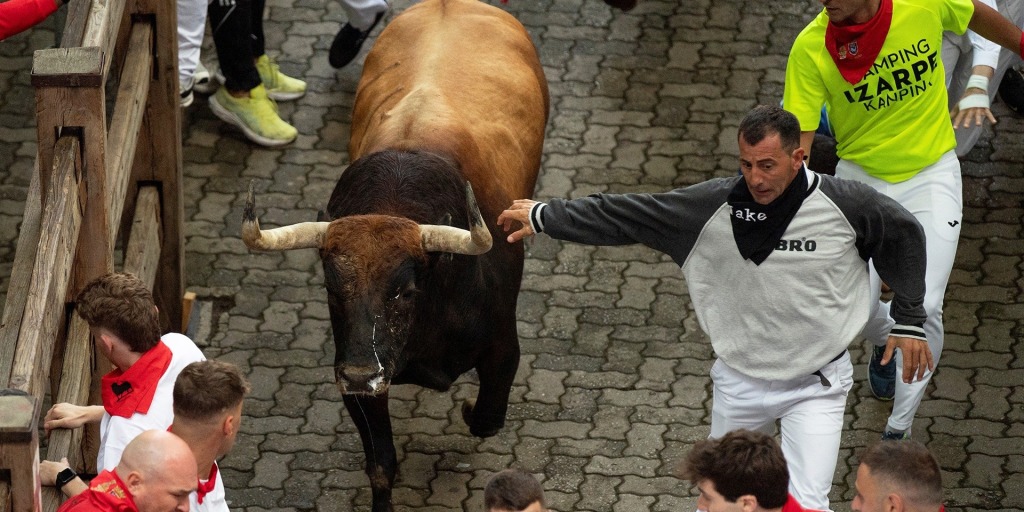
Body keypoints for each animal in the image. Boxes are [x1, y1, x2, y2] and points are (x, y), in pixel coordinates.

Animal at [240, 0, 548, 510]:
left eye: (404, 291)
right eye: (332, 287)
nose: (362, 373)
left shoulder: (504, 349)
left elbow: (486, 418)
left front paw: (468, 407)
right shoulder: (355, 377)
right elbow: (381, 464)